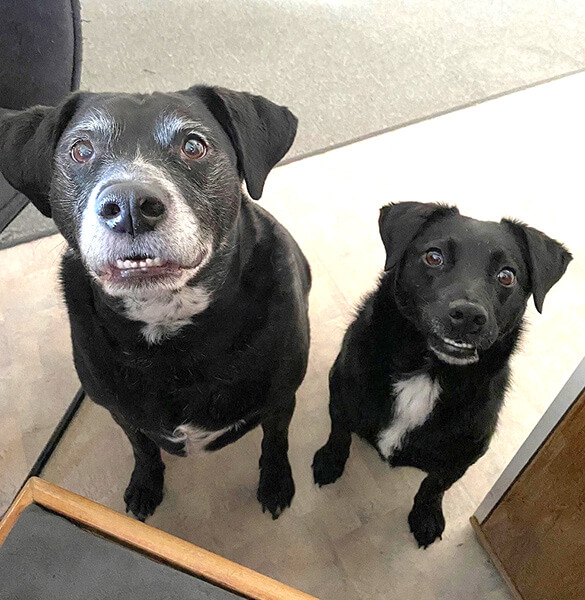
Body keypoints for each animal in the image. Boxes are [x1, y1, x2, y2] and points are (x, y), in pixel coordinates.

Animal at [0, 85, 311, 521]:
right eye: (81, 150)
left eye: (193, 146)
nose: (129, 206)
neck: (169, 329)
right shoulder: (122, 413)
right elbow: (144, 448)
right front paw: (145, 485)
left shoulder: (281, 399)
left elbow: (275, 442)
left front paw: (276, 483)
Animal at [312, 201, 571, 547]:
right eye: (434, 257)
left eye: (507, 276)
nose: (469, 316)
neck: (427, 371)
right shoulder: (341, 394)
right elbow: (339, 433)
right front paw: (329, 461)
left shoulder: (465, 454)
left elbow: (434, 485)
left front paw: (426, 516)